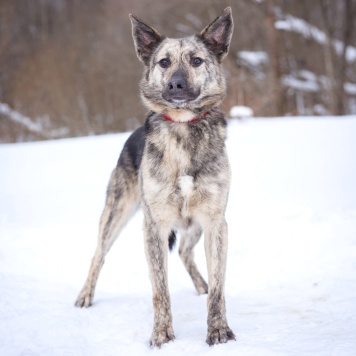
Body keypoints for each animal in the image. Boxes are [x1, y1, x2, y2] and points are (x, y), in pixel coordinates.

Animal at [75, 7, 235, 348]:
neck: (183, 126)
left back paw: (200, 285)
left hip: (195, 226)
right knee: (98, 255)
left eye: (196, 60)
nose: (175, 85)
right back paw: (85, 296)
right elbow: (160, 289)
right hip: (116, 214)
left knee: (186, 252)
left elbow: (218, 288)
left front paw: (218, 330)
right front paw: (162, 334)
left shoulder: (215, 223)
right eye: (164, 62)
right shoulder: (154, 228)